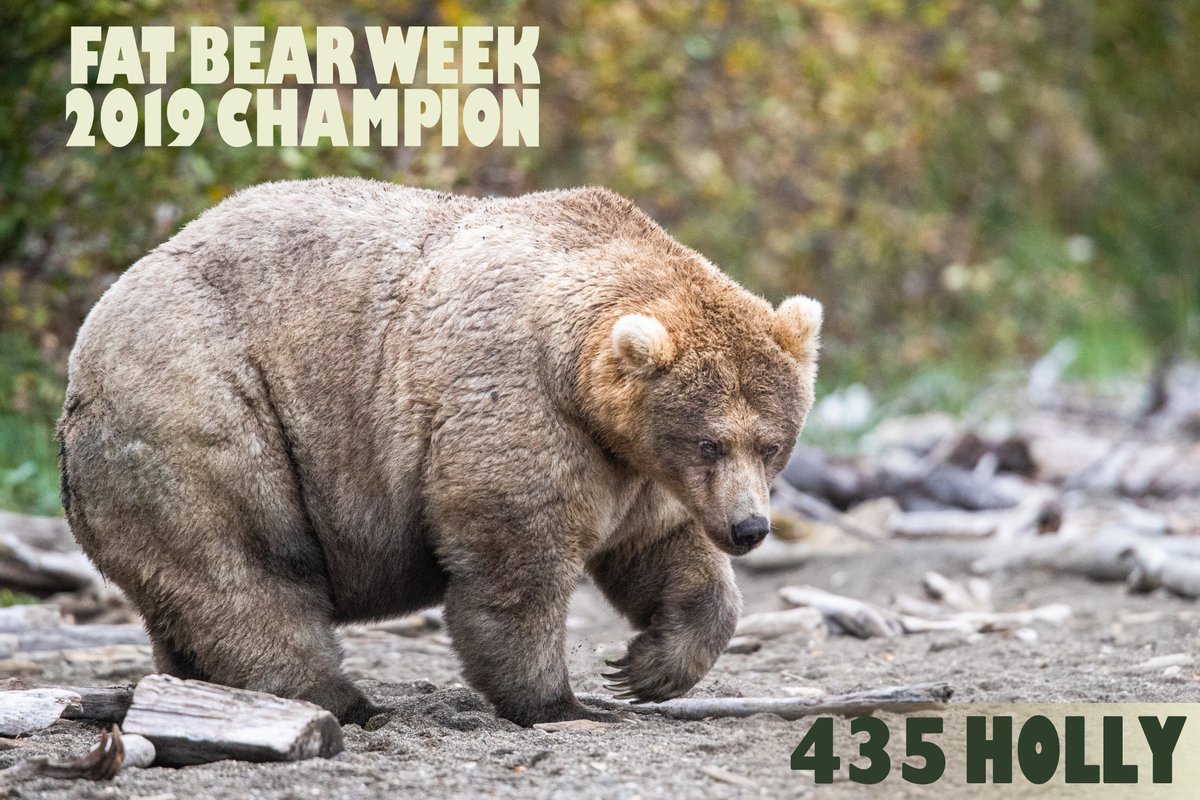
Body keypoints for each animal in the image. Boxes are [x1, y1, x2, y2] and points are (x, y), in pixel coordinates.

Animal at [56, 178, 822, 726]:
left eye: (772, 443)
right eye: (709, 440)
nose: (750, 528)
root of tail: (85, 348)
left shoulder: (636, 467)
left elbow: (663, 551)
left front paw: (645, 668)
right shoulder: (519, 405)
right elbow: (515, 560)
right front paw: (559, 701)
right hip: (204, 410)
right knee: (246, 568)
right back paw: (343, 701)